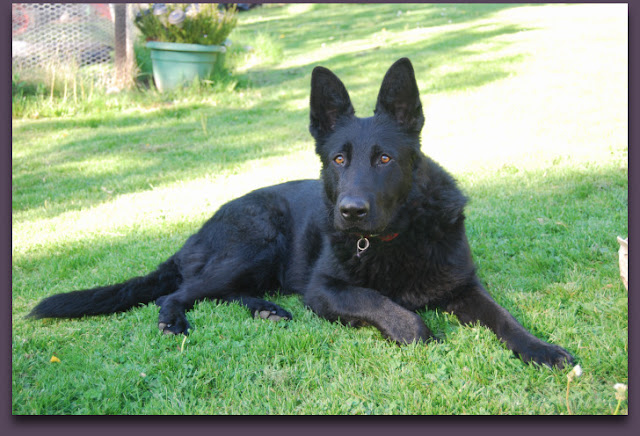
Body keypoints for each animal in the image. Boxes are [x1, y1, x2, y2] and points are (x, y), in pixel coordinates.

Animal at [28, 58, 574, 368]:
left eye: (384, 159)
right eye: (338, 159)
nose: (350, 212)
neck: (395, 238)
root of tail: (195, 235)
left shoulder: (464, 287)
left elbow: (504, 319)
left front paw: (541, 348)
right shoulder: (325, 290)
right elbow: (384, 305)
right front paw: (412, 330)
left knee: (226, 293)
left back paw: (266, 310)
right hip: (258, 240)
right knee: (179, 293)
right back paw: (175, 321)